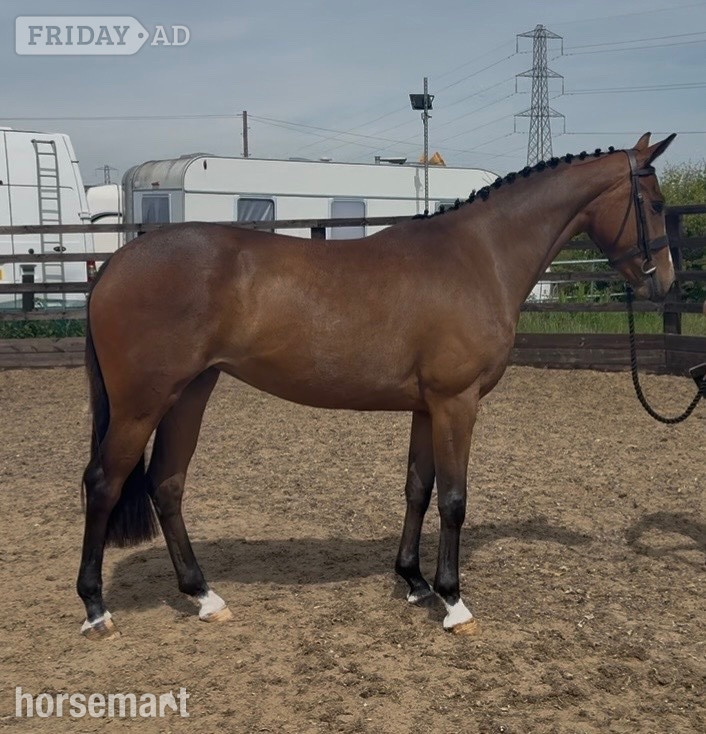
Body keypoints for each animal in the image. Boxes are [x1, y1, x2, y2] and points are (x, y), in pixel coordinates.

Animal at [77, 133, 676, 640]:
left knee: (166, 484)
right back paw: (96, 608)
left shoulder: (427, 407)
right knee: (105, 483)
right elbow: (453, 498)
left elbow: (418, 488)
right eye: (655, 204)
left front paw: (414, 580)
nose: (664, 282)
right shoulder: (456, 403)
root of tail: (113, 265)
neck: (479, 255)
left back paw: (204, 596)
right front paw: (454, 601)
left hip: (190, 393)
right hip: (142, 404)